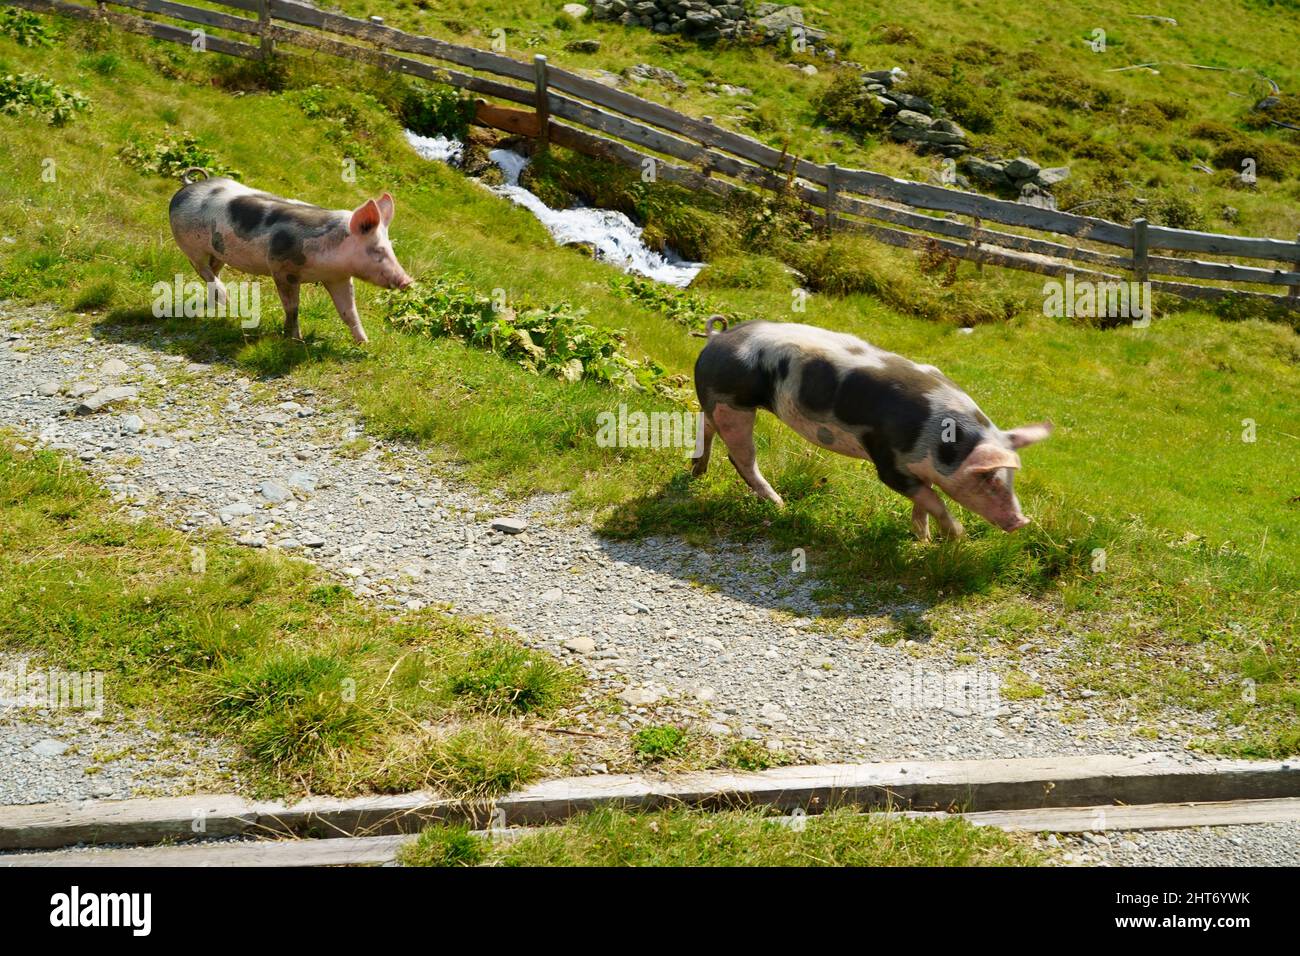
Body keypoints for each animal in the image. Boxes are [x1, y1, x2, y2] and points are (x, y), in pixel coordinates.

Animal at [167, 171, 410, 343]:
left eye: (391, 248)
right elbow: (292, 307)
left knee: (212, 270)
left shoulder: (338, 278)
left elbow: (349, 312)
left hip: (218, 252)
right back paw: (226, 299)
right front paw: (296, 340)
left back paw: (217, 305)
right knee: (203, 270)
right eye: (378, 249)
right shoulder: (282, 268)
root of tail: (188, 187)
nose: (407, 280)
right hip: (189, 245)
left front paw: (365, 344)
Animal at [696, 319, 1050, 538]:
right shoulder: (888, 459)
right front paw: (957, 536)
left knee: (705, 427)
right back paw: (778, 504)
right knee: (741, 458)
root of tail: (717, 338)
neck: (941, 443)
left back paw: (697, 471)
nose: (1022, 522)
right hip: (734, 406)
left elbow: (924, 500)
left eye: (1011, 479)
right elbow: (932, 498)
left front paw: (922, 538)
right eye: (990, 480)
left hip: (717, 405)